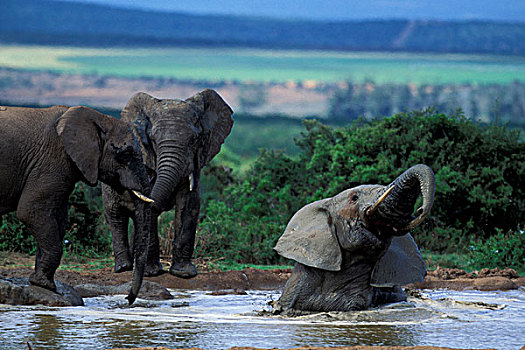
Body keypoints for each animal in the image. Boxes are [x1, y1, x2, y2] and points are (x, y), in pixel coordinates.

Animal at [0, 104, 155, 304]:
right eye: (126, 153)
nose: (127, 299)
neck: (97, 118)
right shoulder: (51, 161)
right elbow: (31, 212)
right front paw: (44, 284)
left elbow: (59, 218)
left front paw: (44, 284)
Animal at [101, 89, 232, 278]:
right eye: (153, 140)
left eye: (195, 140)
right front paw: (151, 273)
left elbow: (189, 203)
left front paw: (184, 273)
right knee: (116, 216)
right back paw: (124, 267)